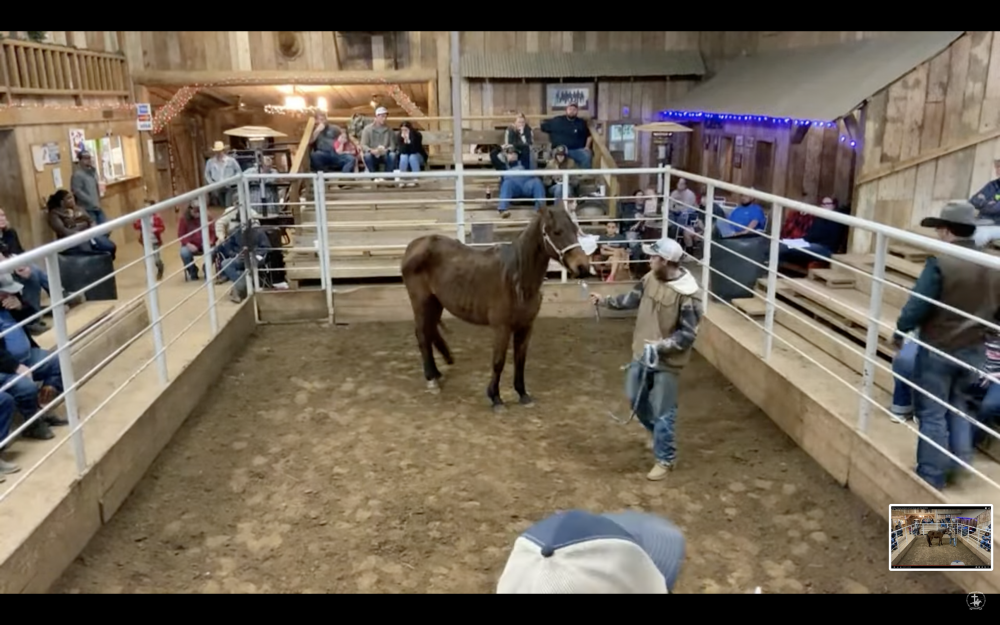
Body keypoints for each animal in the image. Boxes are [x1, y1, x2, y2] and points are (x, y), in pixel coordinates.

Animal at [400, 202, 592, 411]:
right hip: (421, 301)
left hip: (436, 303)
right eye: (557, 231)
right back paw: (431, 380)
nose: (582, 267)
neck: (517, 279)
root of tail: (414, 245)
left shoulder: (526, 327)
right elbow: (498, 361)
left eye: (575, 230)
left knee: (430, 331)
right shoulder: (502, 328)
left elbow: (520, 360)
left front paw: (523, 394)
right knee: (422, 335)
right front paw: (496, 398)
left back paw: (437, 373)